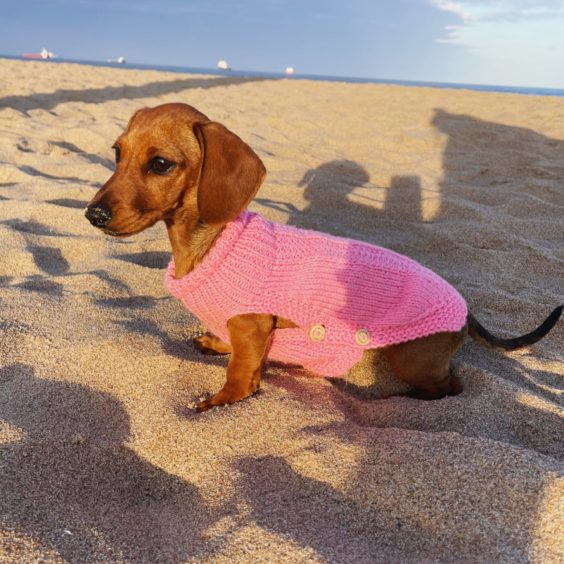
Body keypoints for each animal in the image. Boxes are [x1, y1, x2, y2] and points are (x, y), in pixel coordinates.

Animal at [83, 102, 560, 410]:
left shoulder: (252, 322)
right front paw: (215, 342)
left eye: (161, 164)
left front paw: (222, 400)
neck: (211, 244)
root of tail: (465, 310)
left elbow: (239, 372)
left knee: (452, 386)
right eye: (117, 153)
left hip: (410, 359)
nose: (93, 214)